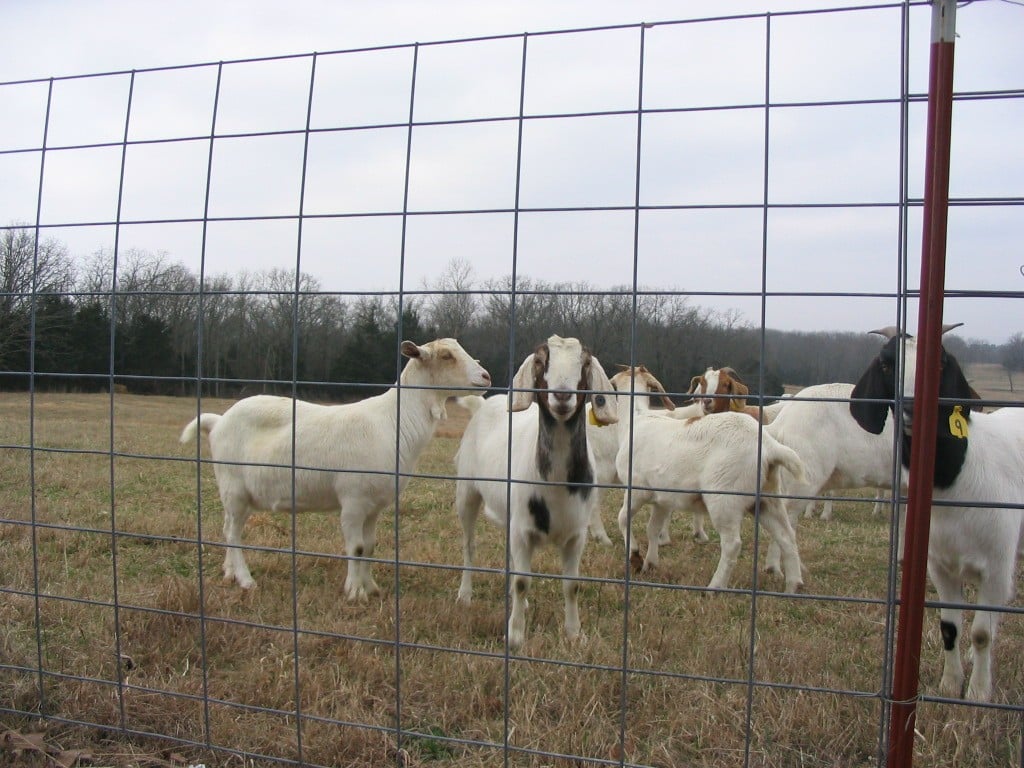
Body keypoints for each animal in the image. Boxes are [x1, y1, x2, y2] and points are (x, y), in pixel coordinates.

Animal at [180, 338, 491, 599]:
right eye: (447, 356)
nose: (486, 376)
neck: (394, 421)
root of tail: (217, 422)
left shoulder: (374, 505)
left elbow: (370, 546)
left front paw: (371, 587)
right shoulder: (353, 499)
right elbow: (356, 547)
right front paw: (355, 592)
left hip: (237, 493)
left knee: (227, 527)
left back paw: (229, 572)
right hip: (233, 485)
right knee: (233, 534)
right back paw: (246, 580)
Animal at [454, 335, 616, 649]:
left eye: (585, 363)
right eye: (541, 361)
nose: (562, 396)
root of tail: (483, 405)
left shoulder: (576, 535)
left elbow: (572, 585)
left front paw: (574, 633)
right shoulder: (523, 529)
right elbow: (522, 582)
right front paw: (515, 636)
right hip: (467, 492)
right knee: (468, 545)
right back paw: (465, 595)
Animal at [850, 325, 1024, 701]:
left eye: (941, 360)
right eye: (886, 363)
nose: (912, 407)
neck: (956, 478)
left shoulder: (996, 566)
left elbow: (982, 633)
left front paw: (978, 693)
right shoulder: (941, 566)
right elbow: (950, 628)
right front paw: (949, 683)